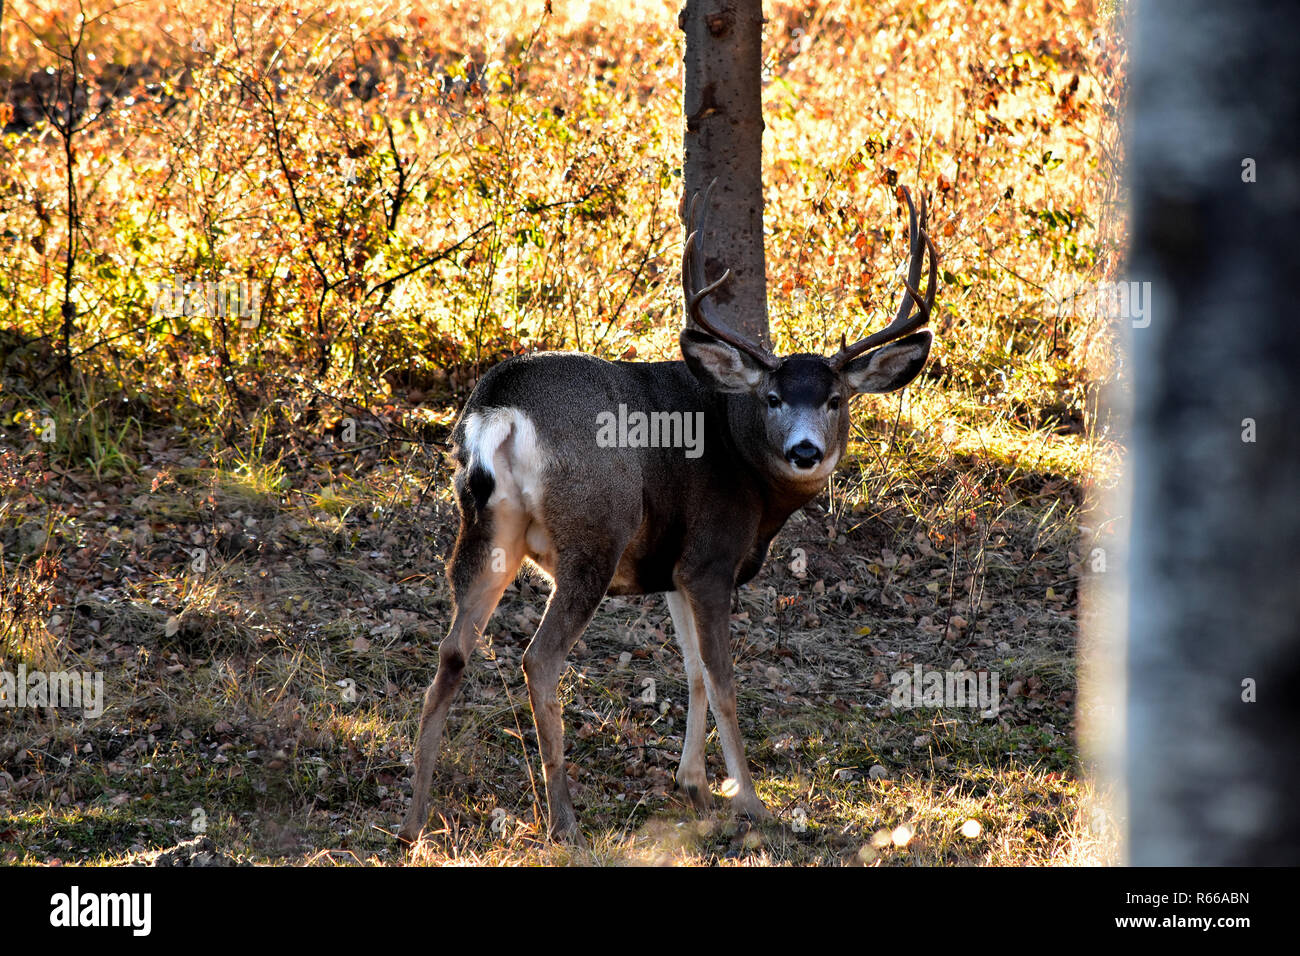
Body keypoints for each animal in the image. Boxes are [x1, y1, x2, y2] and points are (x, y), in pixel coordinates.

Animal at [399, 185, 938, 843]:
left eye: (835, 399)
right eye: (773, 397)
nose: (805, 451)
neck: (747, 471)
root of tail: (497, 410)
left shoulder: (673, 573)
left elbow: (694, 672)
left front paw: (694, 785)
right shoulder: (709, 559)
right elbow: (724, 678)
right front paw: (749, 800)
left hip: (487, 529)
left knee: (451, 652)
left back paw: (415, 820)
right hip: (594, 534)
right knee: (539, 659)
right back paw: (564, 822)